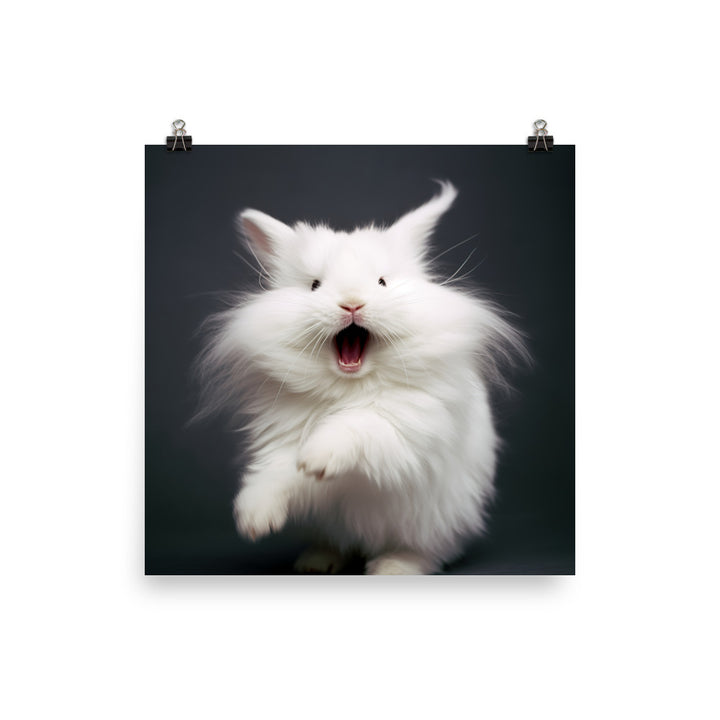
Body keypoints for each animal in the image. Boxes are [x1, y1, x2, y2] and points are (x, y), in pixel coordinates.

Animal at [197, 181, 527, 574]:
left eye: (382, 282)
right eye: (314, 285)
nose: (352, 304)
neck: (350, 386)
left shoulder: (407, 431)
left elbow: (359, 425)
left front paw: (316, 459)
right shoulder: (281, 438)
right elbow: (275, 472)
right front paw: (254, 519)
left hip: (434, 524)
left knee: (426, 551)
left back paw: (392, 567)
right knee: (338, 542)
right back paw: (316, 562)